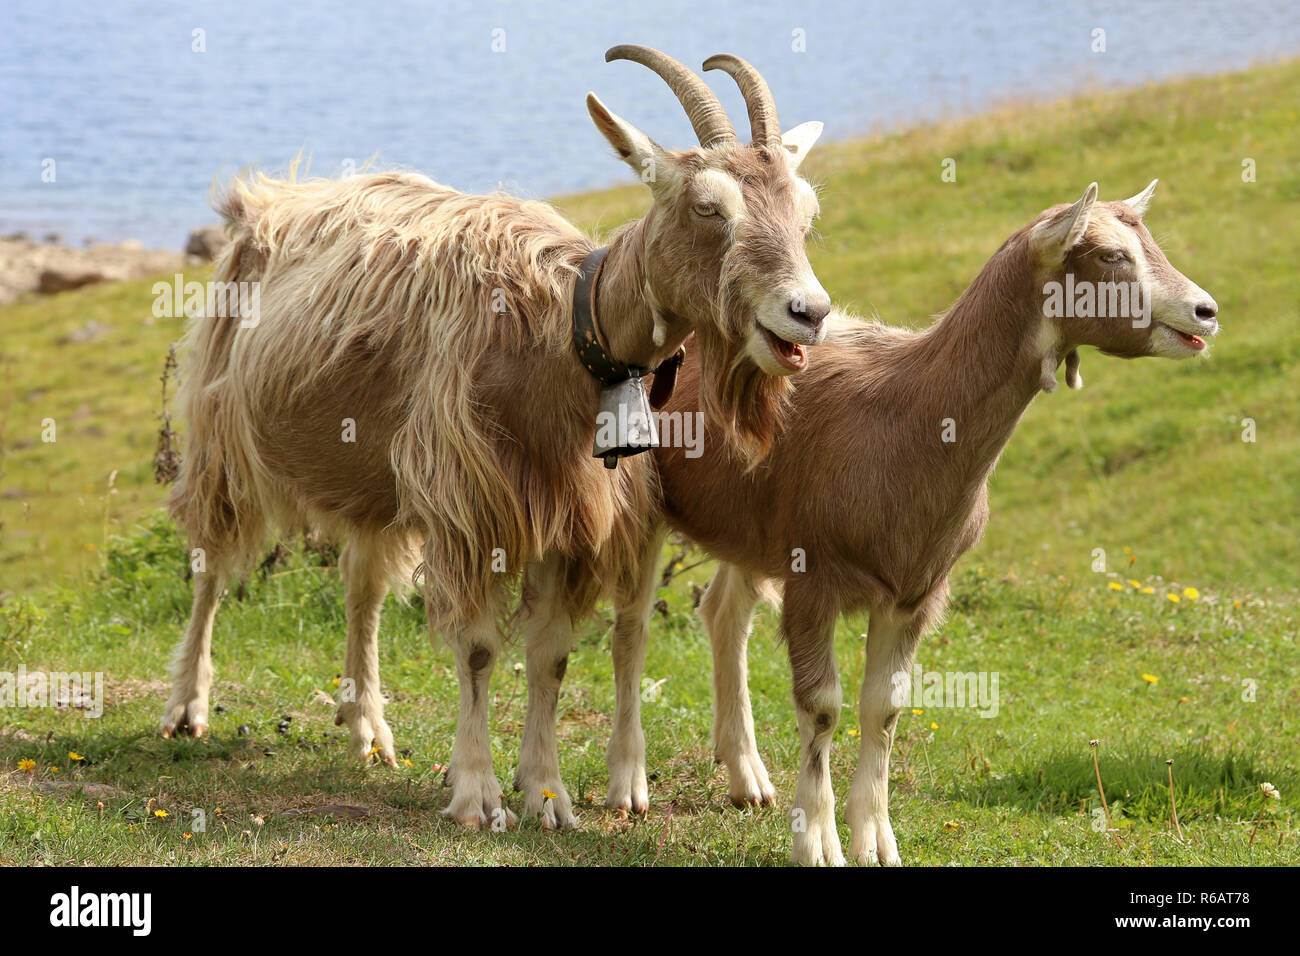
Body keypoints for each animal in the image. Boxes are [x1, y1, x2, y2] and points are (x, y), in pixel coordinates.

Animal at [165, 48, 832, 832]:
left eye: (805, 212)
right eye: (709, 207)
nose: (809, 312)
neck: (560, 333)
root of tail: (262, 202)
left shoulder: (568, 515)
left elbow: (551, 658)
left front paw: (547, 793)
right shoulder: (470, 506)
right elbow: (482, 651)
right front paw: (478, 795)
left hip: (372, 475)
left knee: (362, 586)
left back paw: (368, 730)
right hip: (219, 432)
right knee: (210, 562)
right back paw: (187, 709)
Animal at [605, 183, 1216, 863]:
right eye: (1111, 254)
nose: (1206, 311)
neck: (905, 414)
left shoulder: (917, 590)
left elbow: (884, 709)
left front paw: (875, 839)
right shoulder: (813, 577)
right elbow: (822, 708)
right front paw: (817, 842)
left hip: (752, 529)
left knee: (723, 613)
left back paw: (748, 777)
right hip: (641, 504)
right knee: (631, 628)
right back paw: (628, 784)